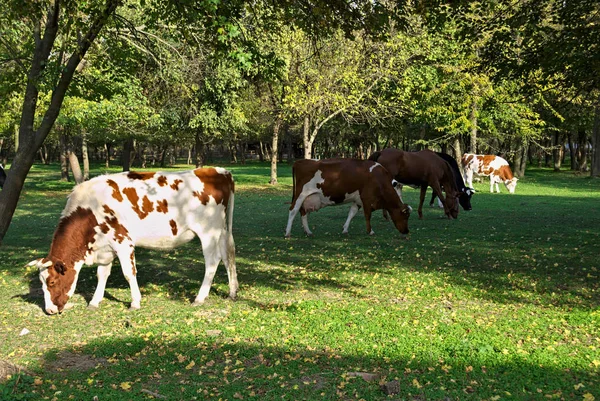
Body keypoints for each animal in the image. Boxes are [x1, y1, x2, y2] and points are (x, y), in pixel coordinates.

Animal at [30, 167, 237, 314]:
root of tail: (218, 171)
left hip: (208, 232)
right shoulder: (105, 247)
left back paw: (200, 297)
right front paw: (94, 301)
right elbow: (101, 275)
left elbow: (129, 273)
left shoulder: (123, 242)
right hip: (223, 230)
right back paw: (233, 292)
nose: (49, 310)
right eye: (41, 282)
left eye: (51, 282)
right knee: (228, 256)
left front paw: (135, 302)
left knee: (213, 262)